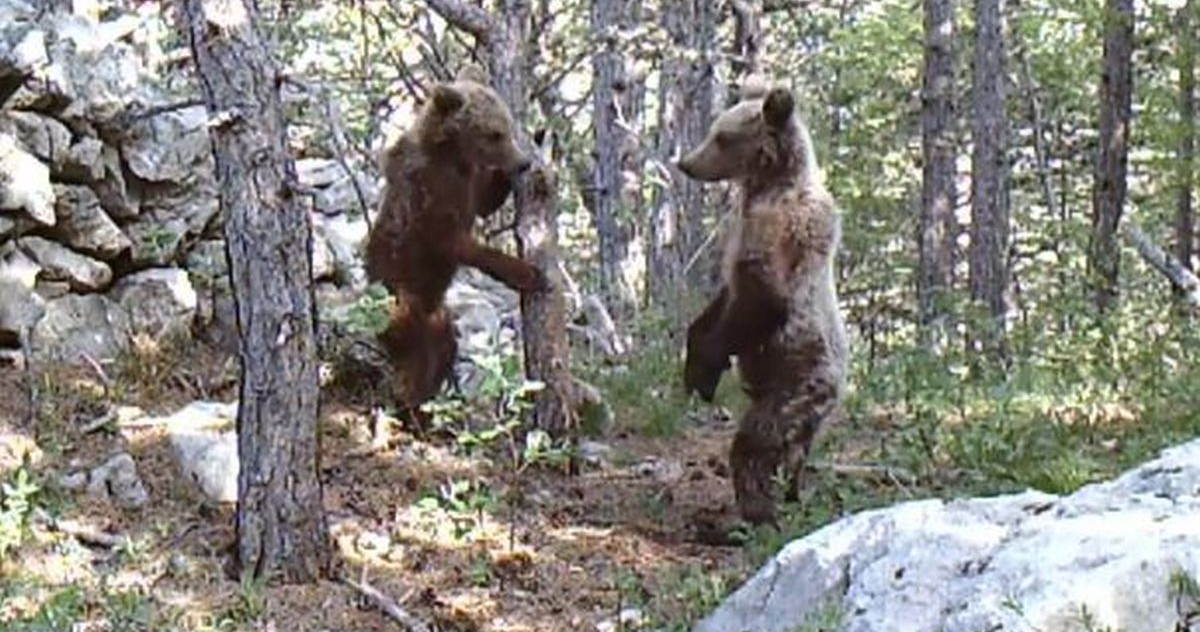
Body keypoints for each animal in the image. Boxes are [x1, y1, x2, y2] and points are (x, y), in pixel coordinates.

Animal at [364, 70, 544, 419]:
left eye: (507, 128)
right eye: (495, 133)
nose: (523, 163)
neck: (453, 155)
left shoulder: (468, 183)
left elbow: (484, 201)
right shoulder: (428, 194)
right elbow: (456, 242)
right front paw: (528, 273)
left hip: (437, 313)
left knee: (444, 346)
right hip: (400, 294)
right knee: (413, 352)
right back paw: (408, 406)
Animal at [676, 80, 854, 525]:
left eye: (722, 137)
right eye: (713, 129)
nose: (686, 163)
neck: (765, 186)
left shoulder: (783, 232)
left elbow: (764, 300)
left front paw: (707, 366)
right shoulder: (739, 235)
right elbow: (724, 298)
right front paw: (696, 358)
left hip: (800, 381)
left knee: (759, 442)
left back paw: (754, 513)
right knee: (792, 452)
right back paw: (790, 495)